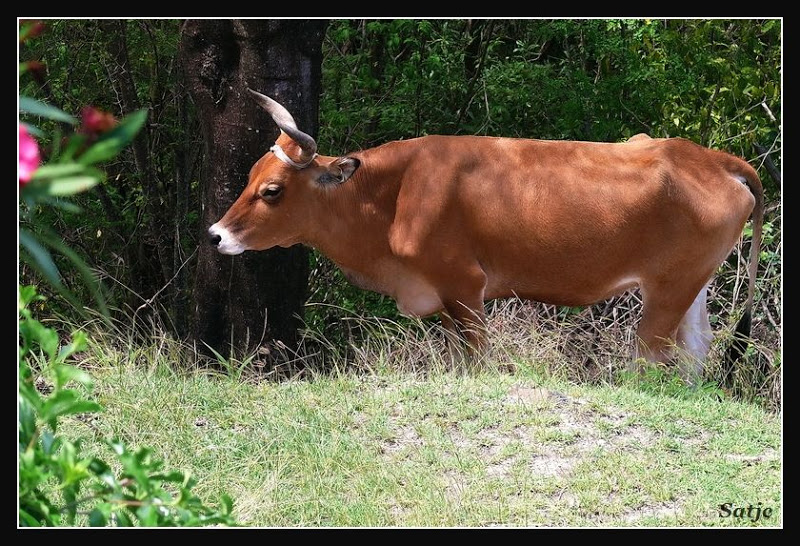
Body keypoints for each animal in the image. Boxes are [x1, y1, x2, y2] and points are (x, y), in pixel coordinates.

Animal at [208, 90, 764, 378]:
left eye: (273, 190)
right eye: (251, 176)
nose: (215, 234)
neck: (395, 193)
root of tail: (712, 157)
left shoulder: (465, 287)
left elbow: (477, 359)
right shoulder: (444, 299)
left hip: (667, 291)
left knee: (651, 356)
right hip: (691, 286)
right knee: (696, 350)